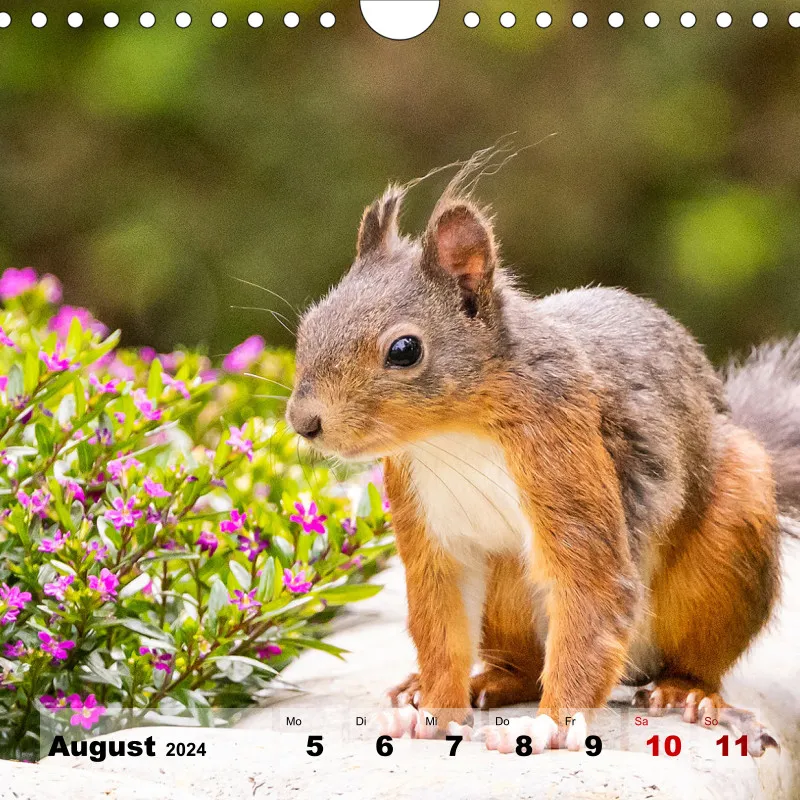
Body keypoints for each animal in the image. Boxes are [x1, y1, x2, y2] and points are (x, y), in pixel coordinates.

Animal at [286, 148, 799, 756]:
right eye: (309, 325)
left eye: (404, 350)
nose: (304, 423)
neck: (454, 434)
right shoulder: (427, 523)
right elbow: (441, 625)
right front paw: (432, 711)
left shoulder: (564, 450)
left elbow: (592, 591)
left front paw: (548, 728)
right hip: (508, 587)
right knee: (526, 668)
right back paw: (467, 683)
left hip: (728, 540)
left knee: (692, 656)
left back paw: (688, 692)